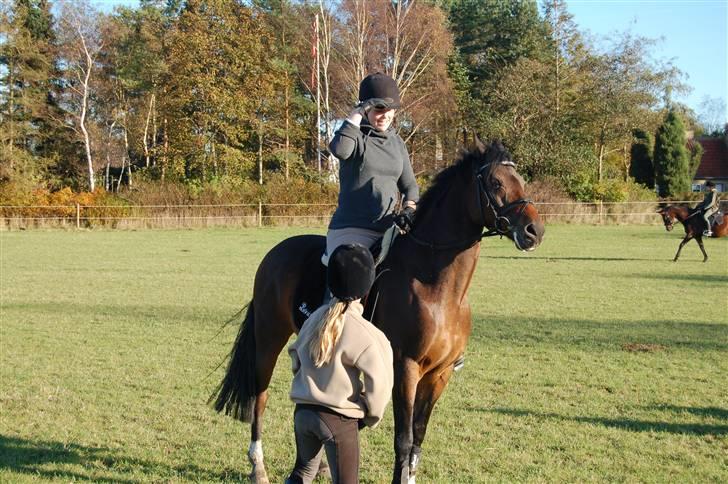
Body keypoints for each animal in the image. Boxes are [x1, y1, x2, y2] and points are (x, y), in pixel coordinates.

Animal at [212, 139, 544, 480]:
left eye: (521, 180)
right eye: (496, 182)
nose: (535, 230)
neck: (436, 286)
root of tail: (275, 253)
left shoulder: (439, 374)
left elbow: (418, 437)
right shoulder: (406, 368)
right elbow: (404, 439)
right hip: (269, 338)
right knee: (259, 397)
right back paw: (258, 466)